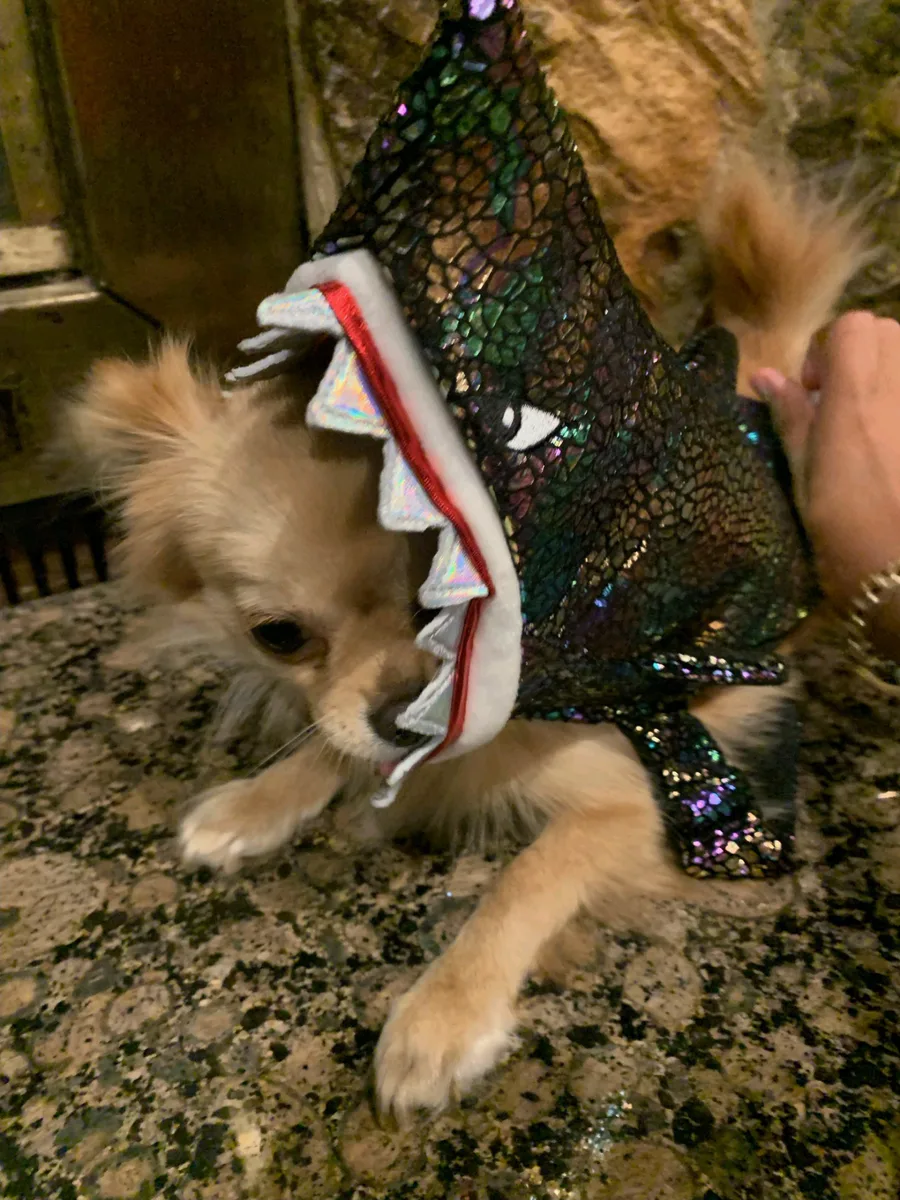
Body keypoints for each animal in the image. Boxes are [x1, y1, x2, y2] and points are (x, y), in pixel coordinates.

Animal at [65, 156, 867, 1120]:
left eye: (451, 604)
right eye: (279, 635)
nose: (402, 711)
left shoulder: (643, 796)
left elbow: (528, 877)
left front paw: (442, 1017)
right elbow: (330, 741)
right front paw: (254, 803)